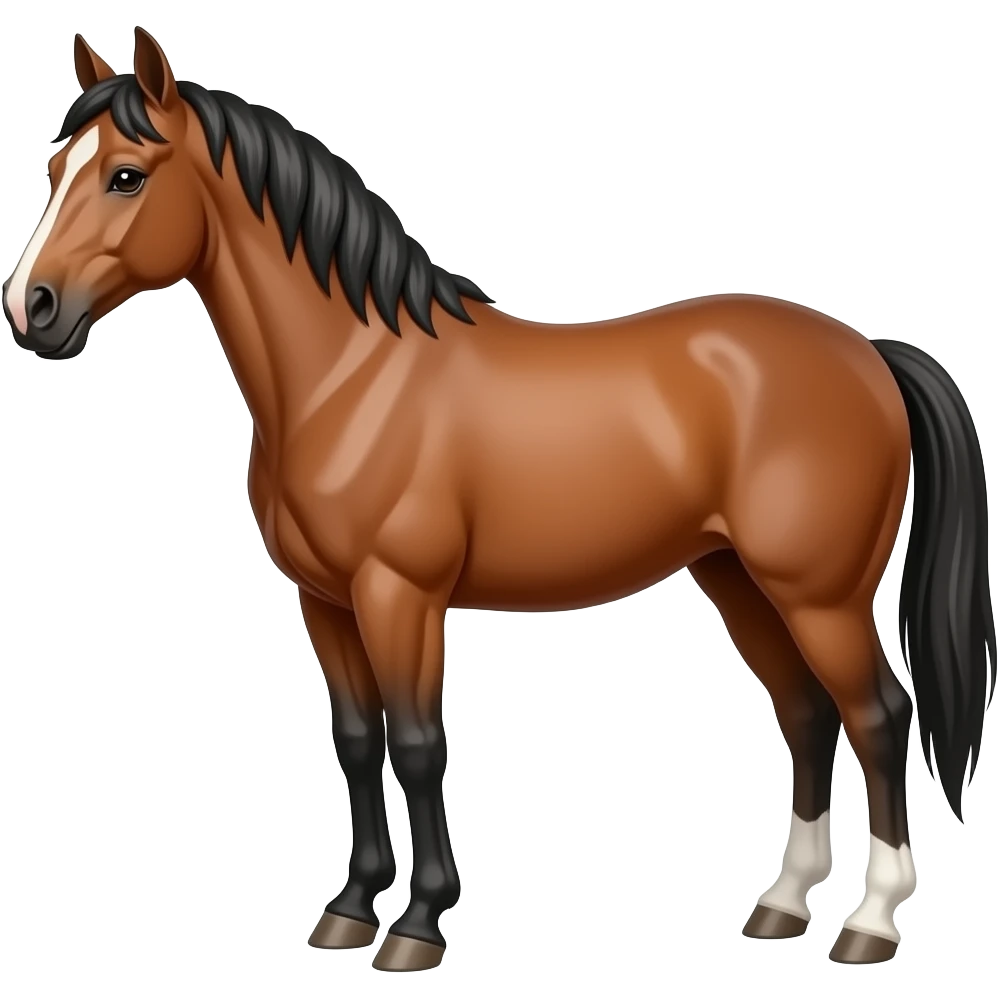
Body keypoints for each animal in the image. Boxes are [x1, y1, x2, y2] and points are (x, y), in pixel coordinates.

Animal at [3, 27, 994, 973]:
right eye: (55, 171)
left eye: (126, 176)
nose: (31, 308)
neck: (353, 376)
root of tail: (867, 353)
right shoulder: (326, 602)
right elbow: (357, 742)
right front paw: (349, 911)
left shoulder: (400, 595)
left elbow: (418, 744)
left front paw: (417, 927)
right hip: (738, 580)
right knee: (807, 714)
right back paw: (782, 907)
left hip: (819, 595)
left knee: (878, 716)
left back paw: (869, 924)